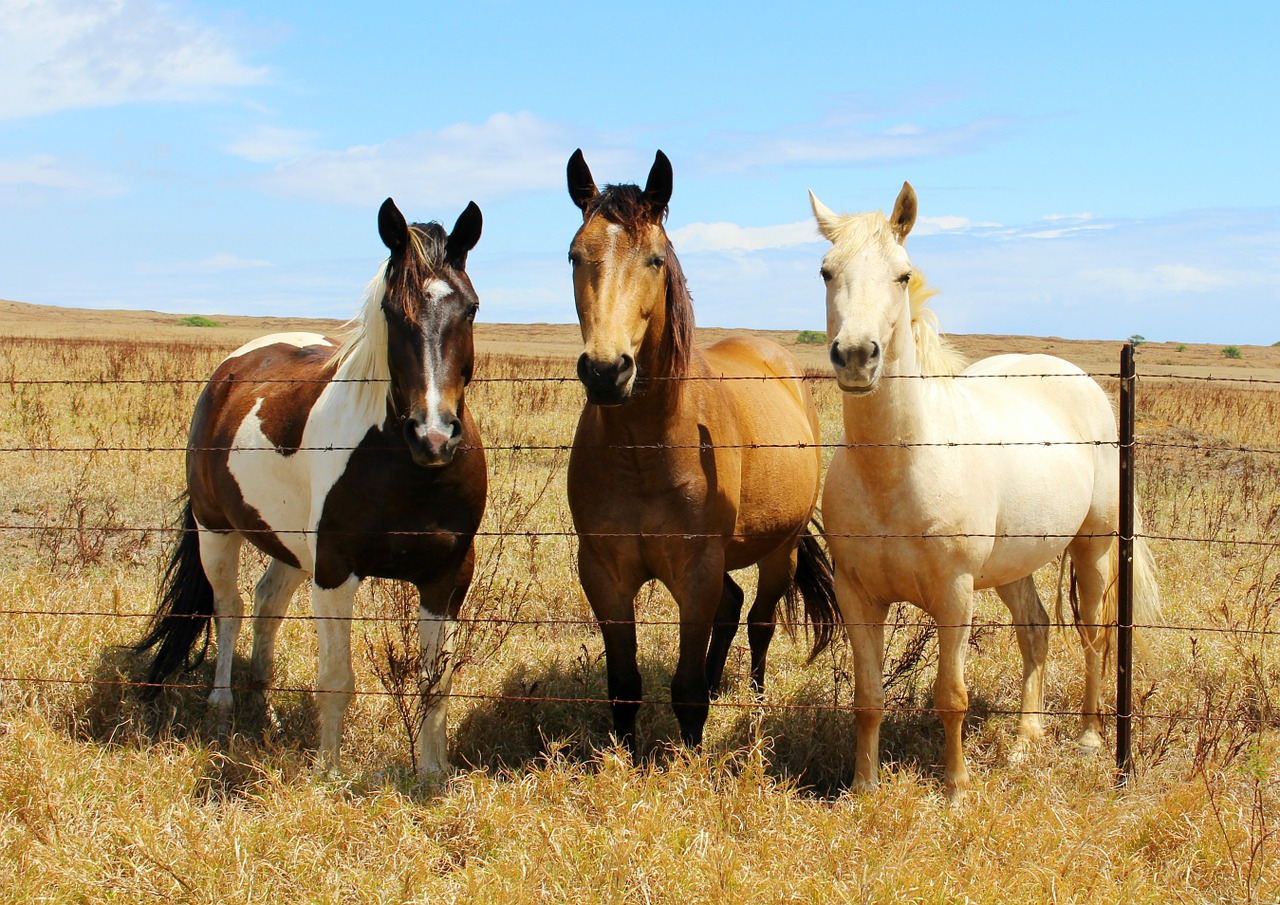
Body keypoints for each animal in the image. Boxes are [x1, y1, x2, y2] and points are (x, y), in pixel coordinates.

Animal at [135, 198, 483, 778]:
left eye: (471, 308)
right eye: (392, 312)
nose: (433, 435)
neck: (410, 472)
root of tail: (231, 368)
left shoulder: (447, 577)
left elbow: (438, 684)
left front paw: (432, 776)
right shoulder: (336, 572)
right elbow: (337, 680)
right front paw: (328, 773)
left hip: (292, 549)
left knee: (266, 603)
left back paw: (266, 712)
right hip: (217, 530)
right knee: (229, 608)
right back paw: (222, 708)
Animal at [568, 152, 839, 752]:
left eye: (653, 259)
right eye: (575, 254)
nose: (606, 371)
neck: (644, 450)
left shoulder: (696, 571)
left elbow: (686, 690)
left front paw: (690, 757)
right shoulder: (604, 574)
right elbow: (624, 685)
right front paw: (622, 757)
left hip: (779, 549)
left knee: (759, 622)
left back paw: (754, 703)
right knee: (732, 606)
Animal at [808, 181, 1162, 798]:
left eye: (902, 274)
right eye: (827, 271)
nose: (855, 355)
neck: (896, 471)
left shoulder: (954, 594)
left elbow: (951, 696)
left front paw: (954, 789)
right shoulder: (857, 595)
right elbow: (867, 698)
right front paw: (864, 787)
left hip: (1093, 550)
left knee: (1093, 635)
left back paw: (1089, 737)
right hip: (1014, 564)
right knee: (1036, 632)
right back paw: (1024, 741)